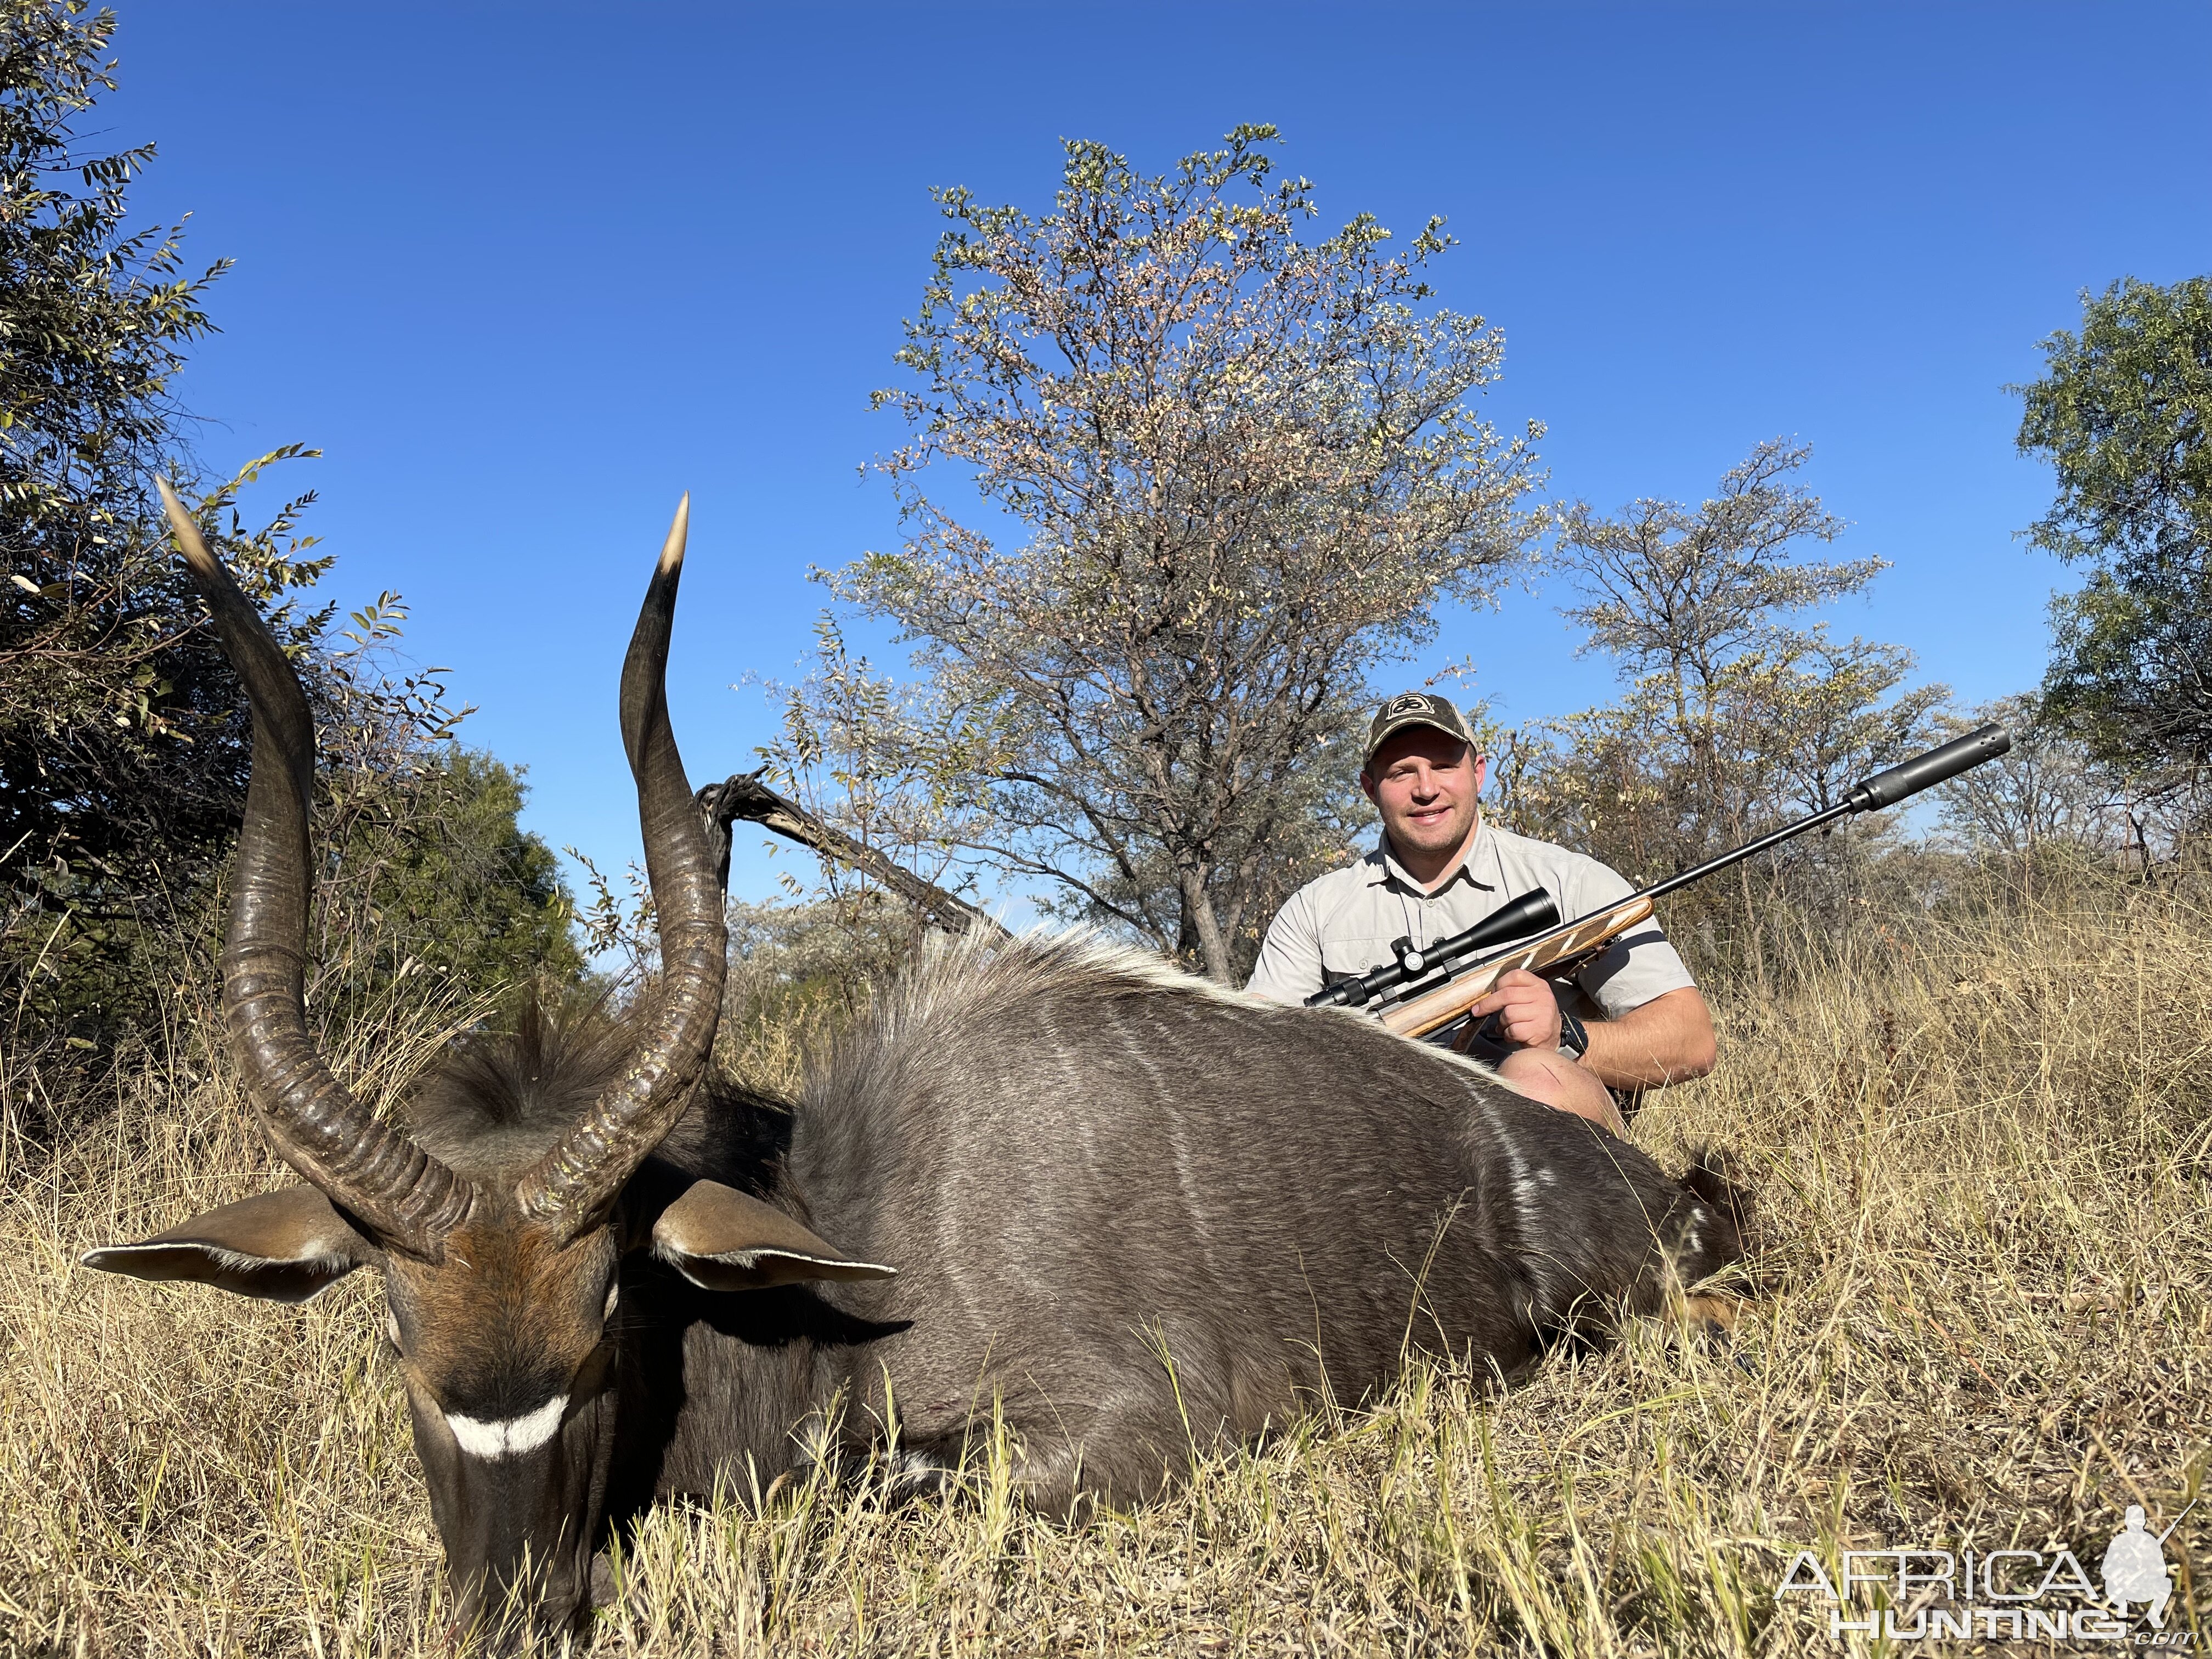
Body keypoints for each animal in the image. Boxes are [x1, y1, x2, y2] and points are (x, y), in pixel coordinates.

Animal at [82, 487, 1743, 1645]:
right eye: (390, 1326)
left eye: (611, 1308)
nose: (512, 1616)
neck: (849, 1231)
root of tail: (1650, 1189)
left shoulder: (1137, 1429)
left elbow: (878, 1483)